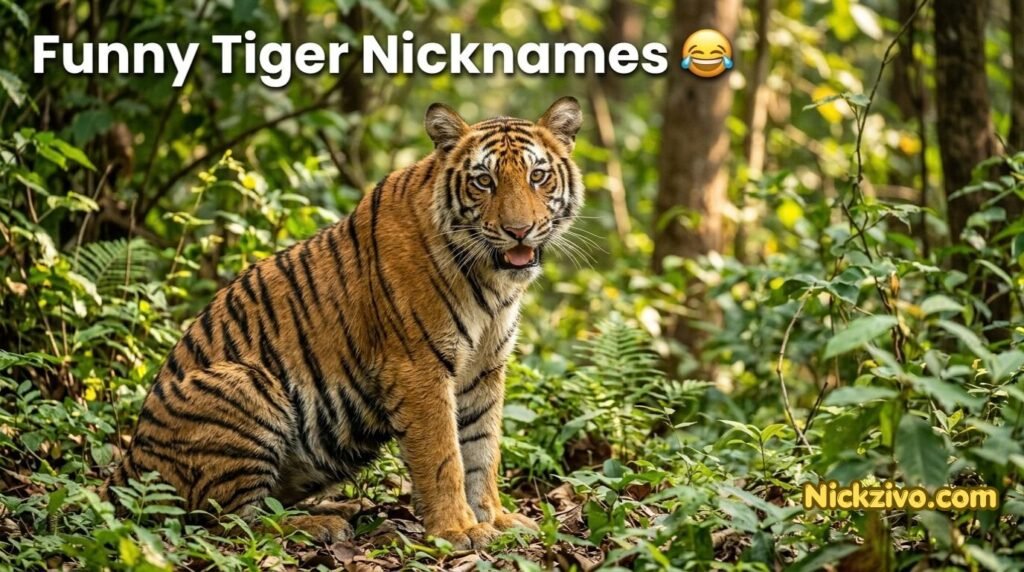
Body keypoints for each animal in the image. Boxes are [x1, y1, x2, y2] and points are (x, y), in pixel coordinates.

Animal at [105, 97, 584, 549]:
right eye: (484, 181)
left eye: (538, 176)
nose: (519, 230)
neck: (491, 281)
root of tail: (124, 471)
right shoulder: (419, 368)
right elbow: (444, 456)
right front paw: (457, 530)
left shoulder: (484, 369)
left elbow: (482, 452)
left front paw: (495, 519)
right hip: (245, 382)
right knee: (227, 526)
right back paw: (319, 525)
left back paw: (340, 510)